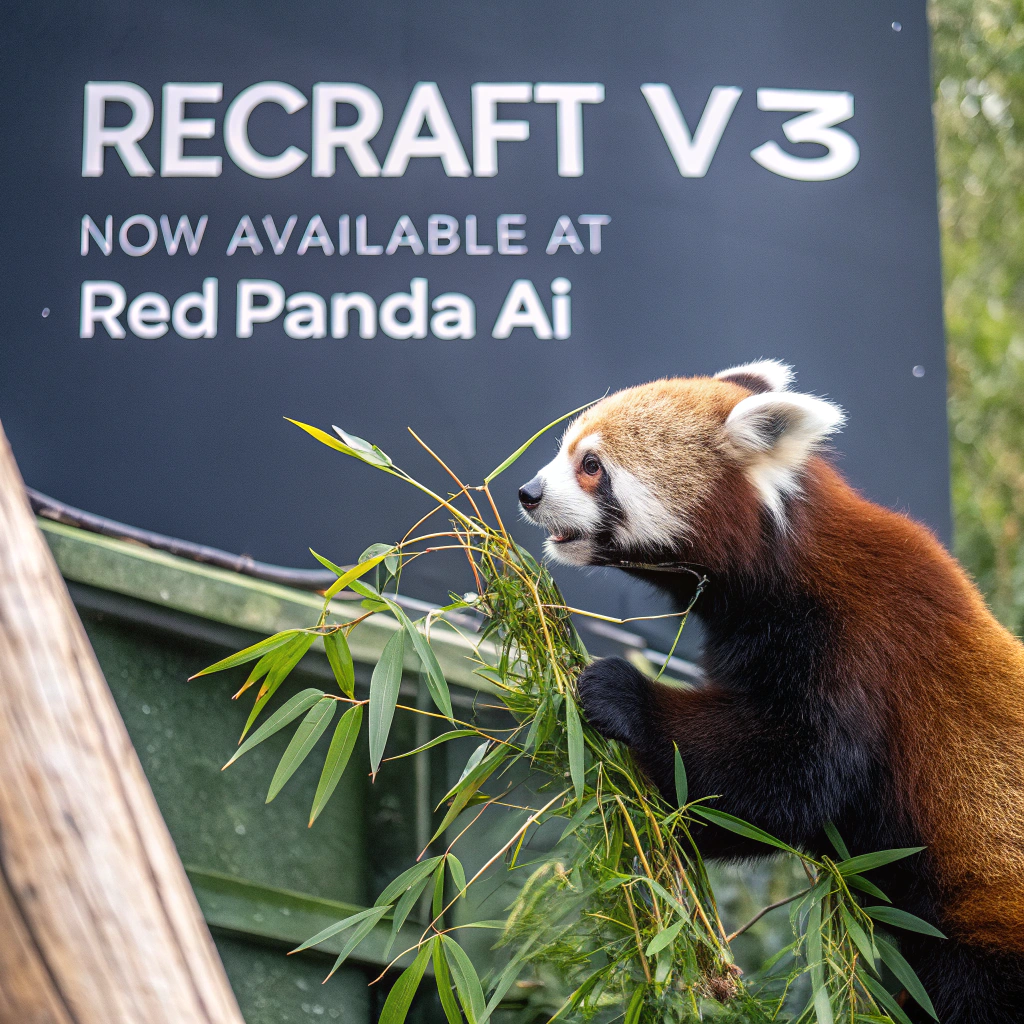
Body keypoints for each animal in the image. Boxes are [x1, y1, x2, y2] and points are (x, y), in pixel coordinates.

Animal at [517, 361, 1024, 1023]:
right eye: (565, 450)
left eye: (592, 465)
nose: (527, 492)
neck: (781, 562)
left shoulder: (850, 640)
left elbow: (794, 774)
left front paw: (622, 694)